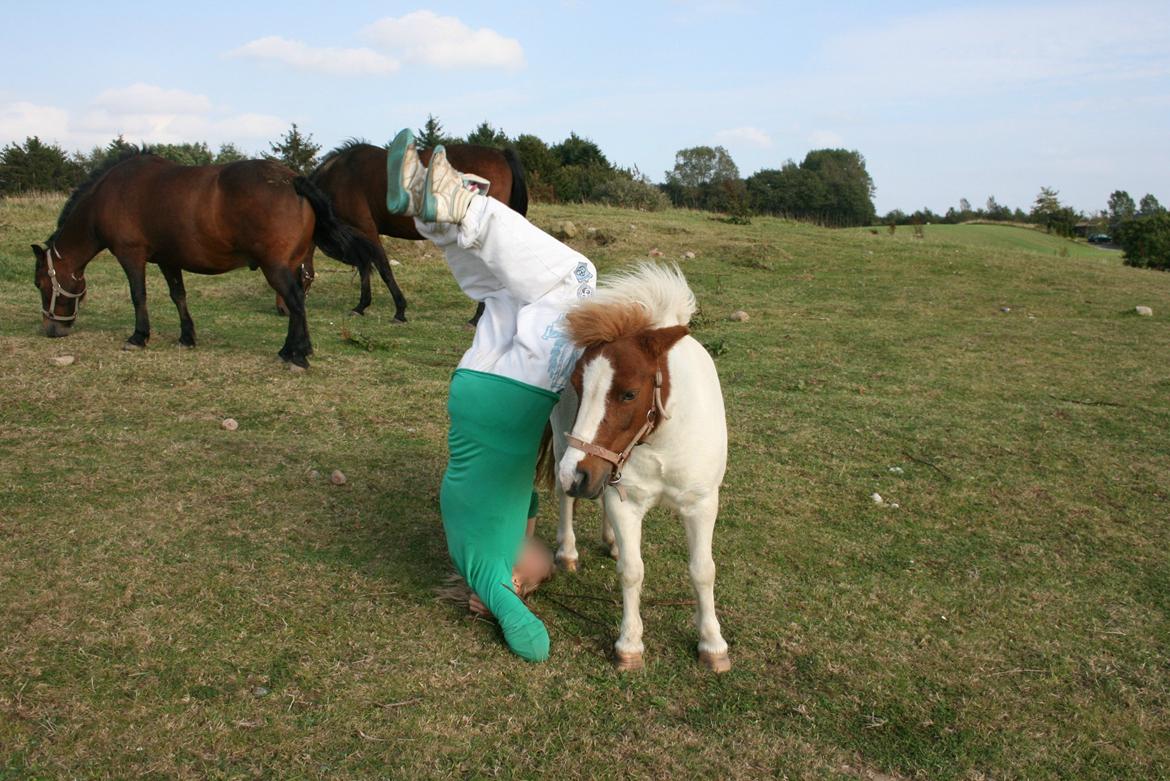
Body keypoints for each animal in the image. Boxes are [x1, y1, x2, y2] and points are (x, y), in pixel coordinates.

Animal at [33, 150, 379, 369]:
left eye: (41, 284)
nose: (51, 329)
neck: (111, 193)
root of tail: (293, 179)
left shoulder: (131, 255)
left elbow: (138, 295)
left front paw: (139, 336)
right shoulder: (168, 259)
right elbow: (178, 295)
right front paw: (187, 336)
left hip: (276, 268)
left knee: (294, 302)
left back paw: (297, 355)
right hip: (290, 265)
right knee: (297, 302)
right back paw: (290, 350)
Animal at [311, 140, 531, 320]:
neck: (338, 175)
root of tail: (501, 154)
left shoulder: (366, 230)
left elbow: (383, 268)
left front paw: (399, 310)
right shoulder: (359, 235)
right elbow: (365, 265)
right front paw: (362, 306)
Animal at [549, 261, 730, 673]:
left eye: (629, 393)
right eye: (578, 386)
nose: (577, 474)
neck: (661, 439)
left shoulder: (701, 504)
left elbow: (703, 570)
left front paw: (712, 644)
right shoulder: (624, 502)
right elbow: (632, 571)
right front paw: (629, 644)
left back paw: (610, 540)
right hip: (565, 449)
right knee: (567, 501)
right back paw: (568, 552)